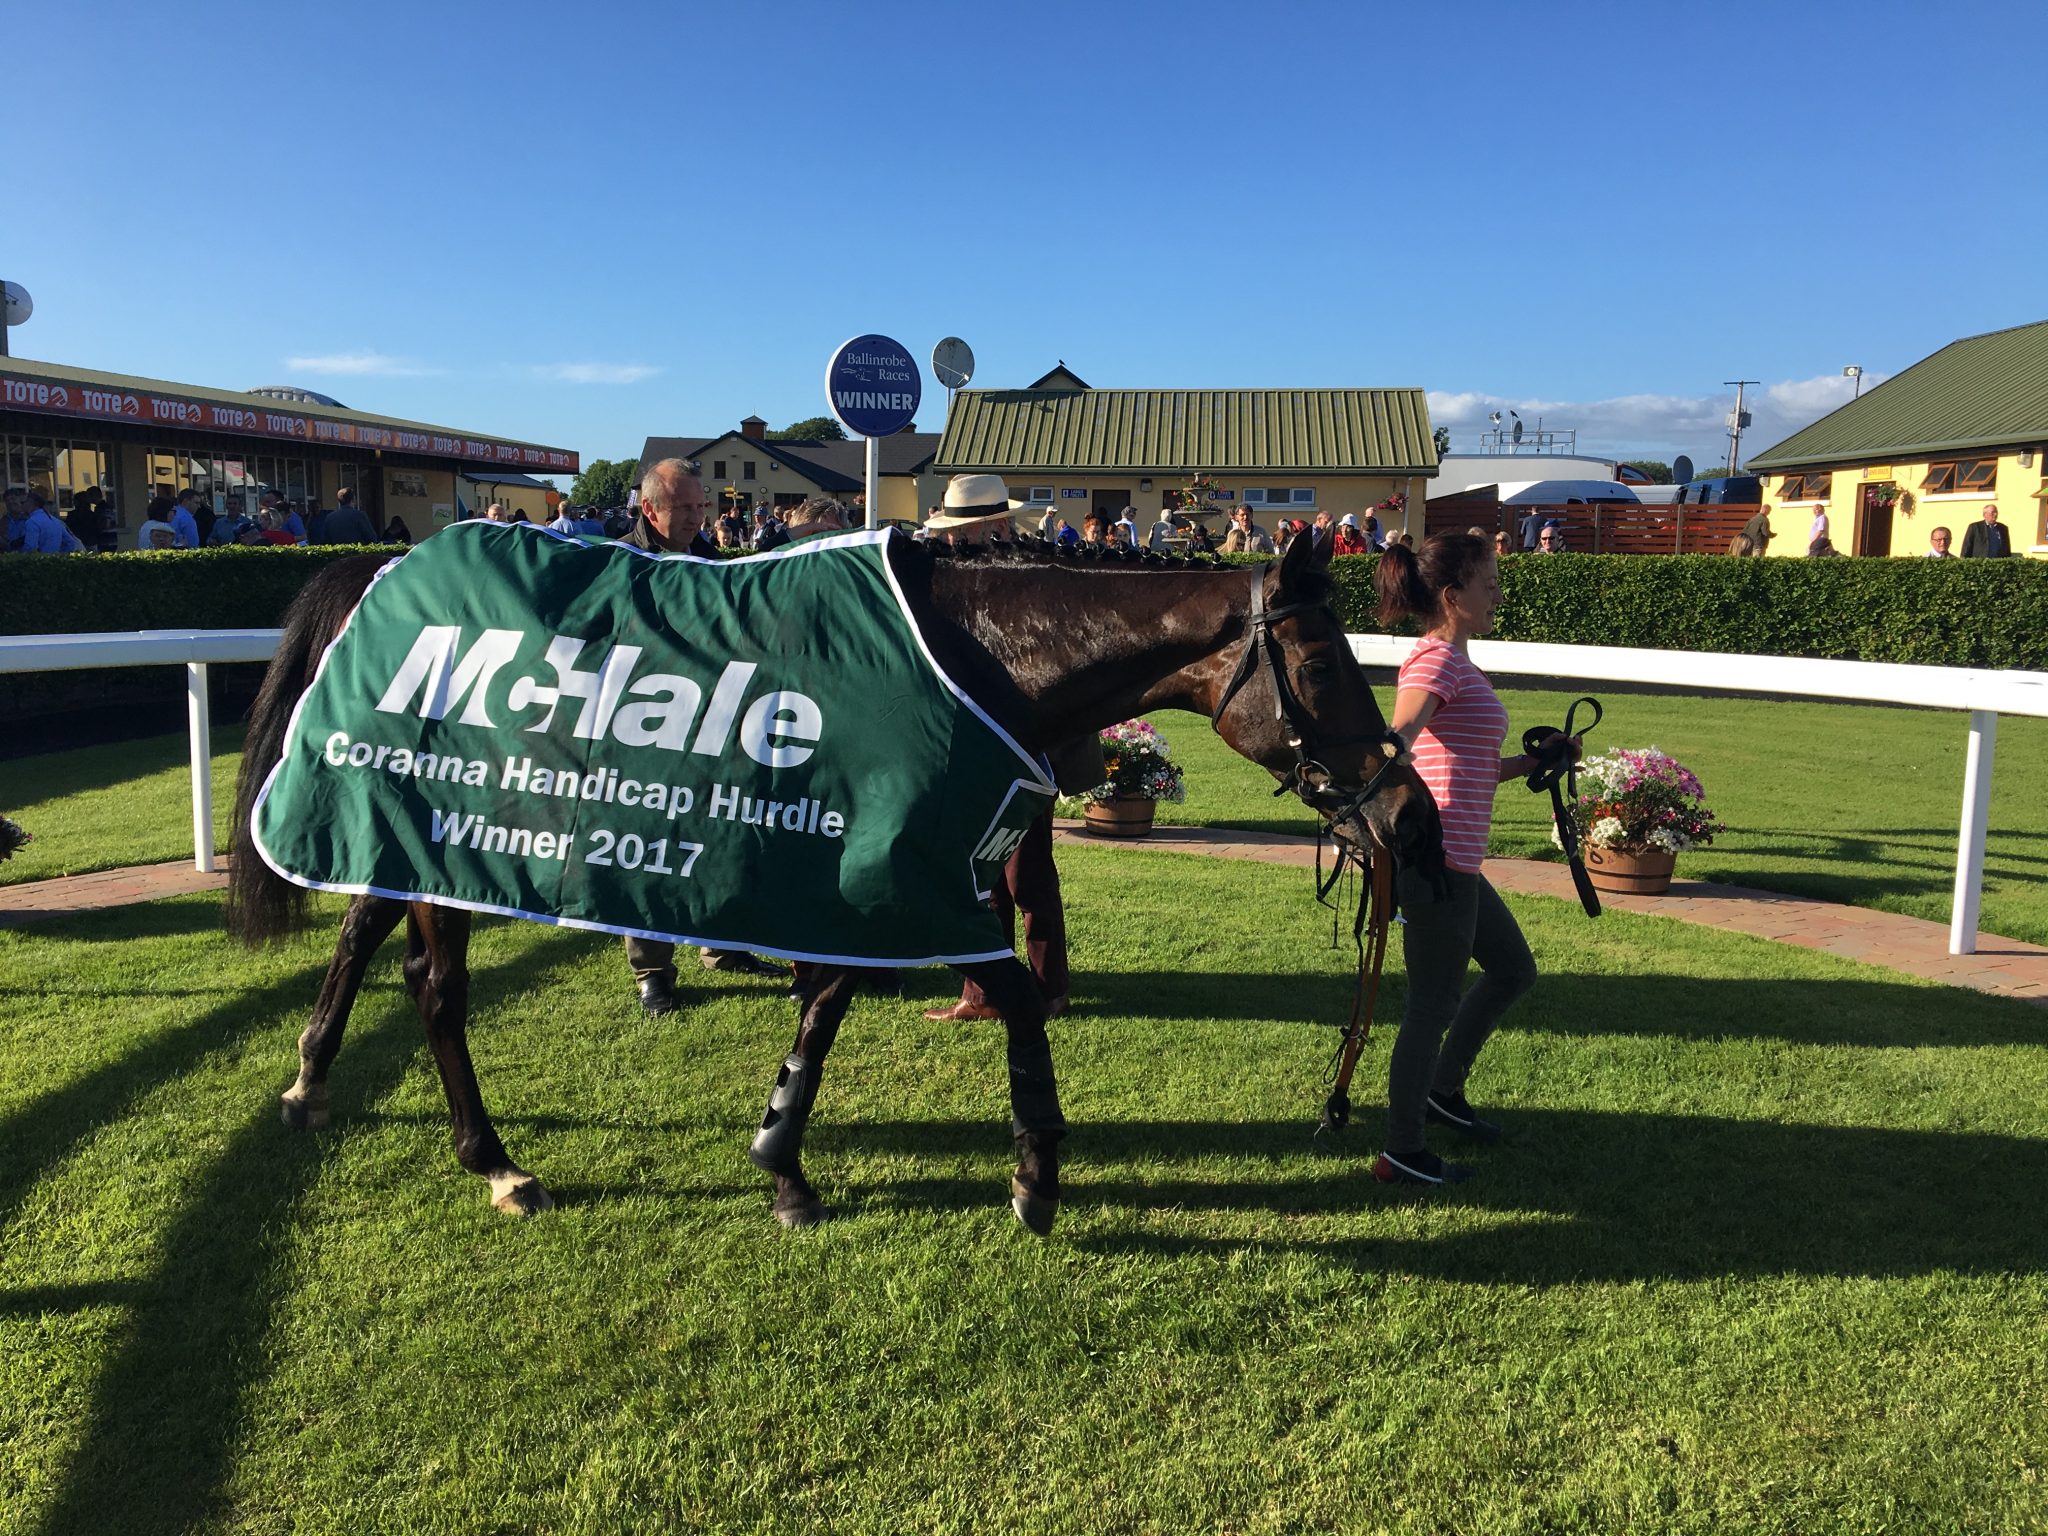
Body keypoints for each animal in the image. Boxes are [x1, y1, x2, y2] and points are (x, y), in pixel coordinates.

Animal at [224, 536, 1441, 1236]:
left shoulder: (901, 871)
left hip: (417, 832)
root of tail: (376, 576)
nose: (1408, 817)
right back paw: (496, 1164)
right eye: (1322, 662)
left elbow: (848, 999)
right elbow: (977, 990)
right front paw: (1031, 1174)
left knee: (366, 937)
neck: (961, 654)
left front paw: (785, 1160)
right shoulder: (889, 874)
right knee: (435, 990)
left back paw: (310, 1081)